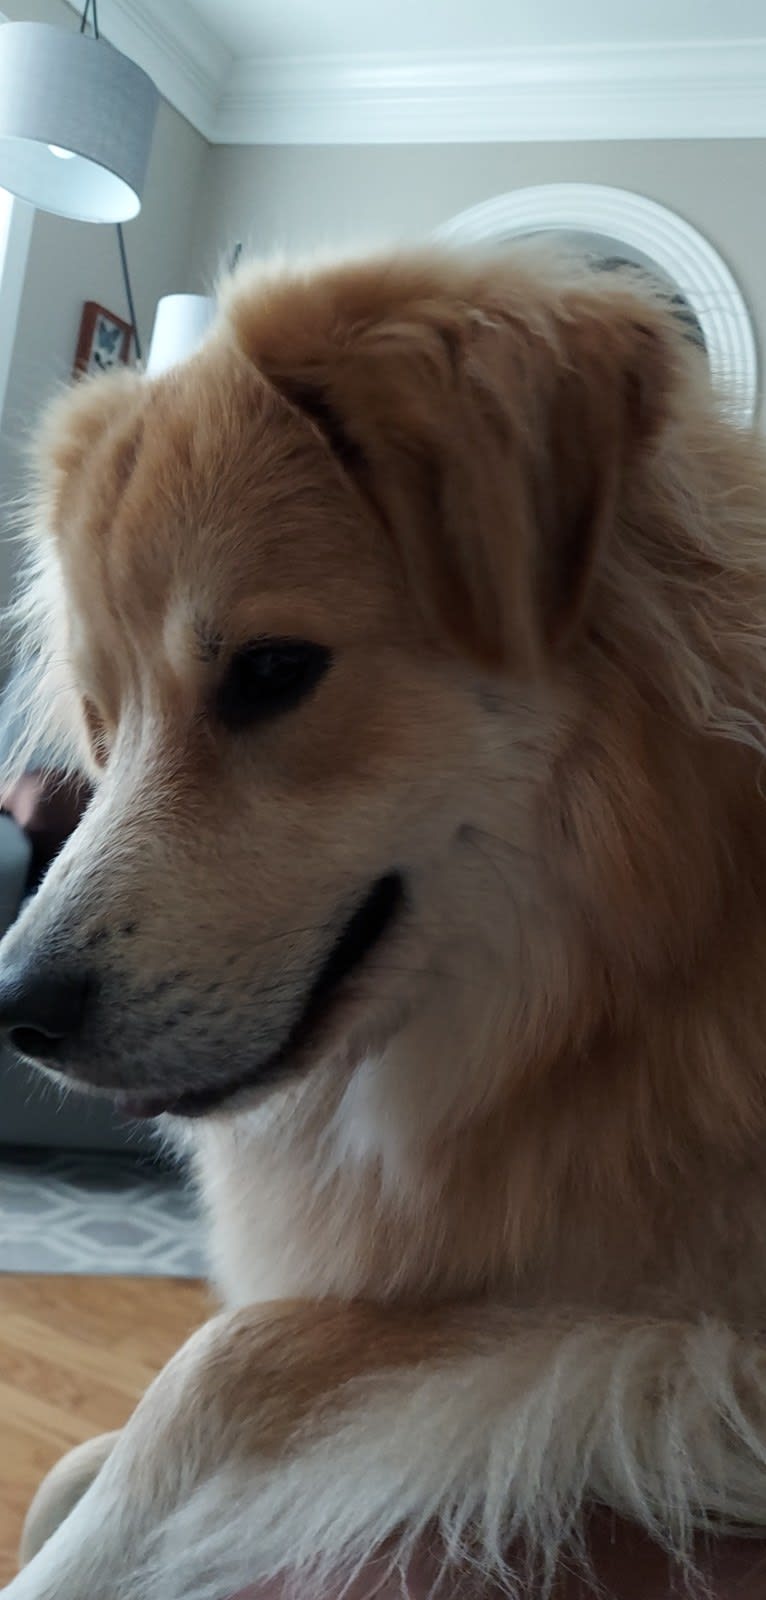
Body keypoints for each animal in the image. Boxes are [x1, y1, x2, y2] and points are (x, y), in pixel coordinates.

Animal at [4, 240, 766, 1600]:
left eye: (269, 672)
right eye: (103, 716)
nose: (14, 1009)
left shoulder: (670, 1333)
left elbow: (224, 1366)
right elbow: (69, 1469)